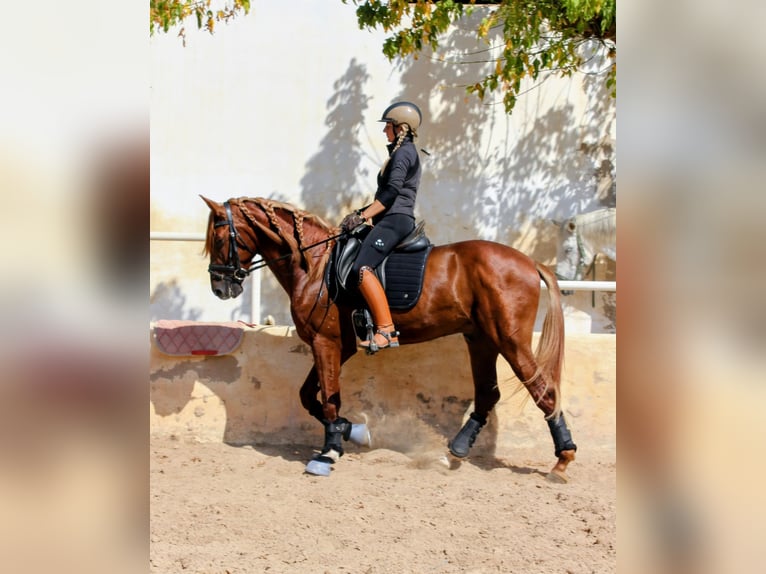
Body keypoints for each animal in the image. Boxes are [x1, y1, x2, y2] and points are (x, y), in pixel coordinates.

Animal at [201, 196, 577, 481]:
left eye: (218, 240)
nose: (220, 288)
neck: (315, 265)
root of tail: (529, 262)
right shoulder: (339, 345)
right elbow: (309, 396)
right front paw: (352, 431)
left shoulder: (326, 343)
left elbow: (328, 399)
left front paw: (328, 453)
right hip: (481, 339)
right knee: (488, 393)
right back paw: (453, 452)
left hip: (509, 340)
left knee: (543, 390)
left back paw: (562, 460)